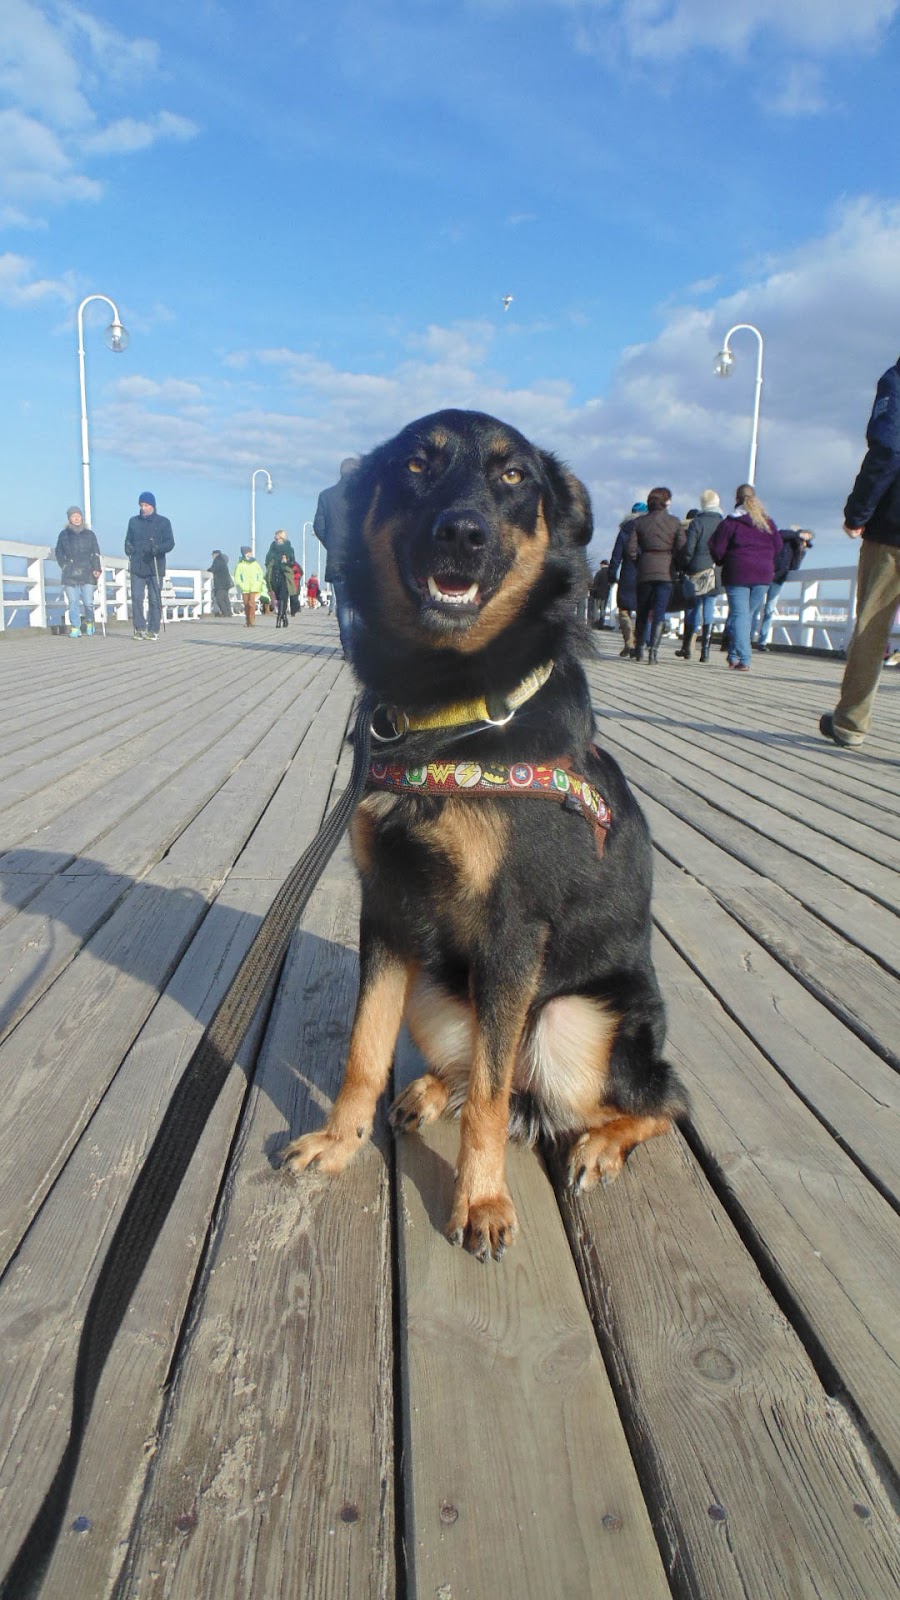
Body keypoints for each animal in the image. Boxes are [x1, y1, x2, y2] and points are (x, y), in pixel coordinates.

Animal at [280, 410, 686, 1260]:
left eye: (512, 477)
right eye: (415, 465)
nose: (462, 533)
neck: (447, 711)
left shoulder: (510, 934)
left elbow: (495, 1106)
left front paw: (484, 1201)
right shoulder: (387, 910)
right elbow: (363, 1051)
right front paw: (339, 1142)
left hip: (569, 1021)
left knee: (653, 1099)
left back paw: (600, 1145)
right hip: (438, 994)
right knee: (475, 1068)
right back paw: (431, 1090)